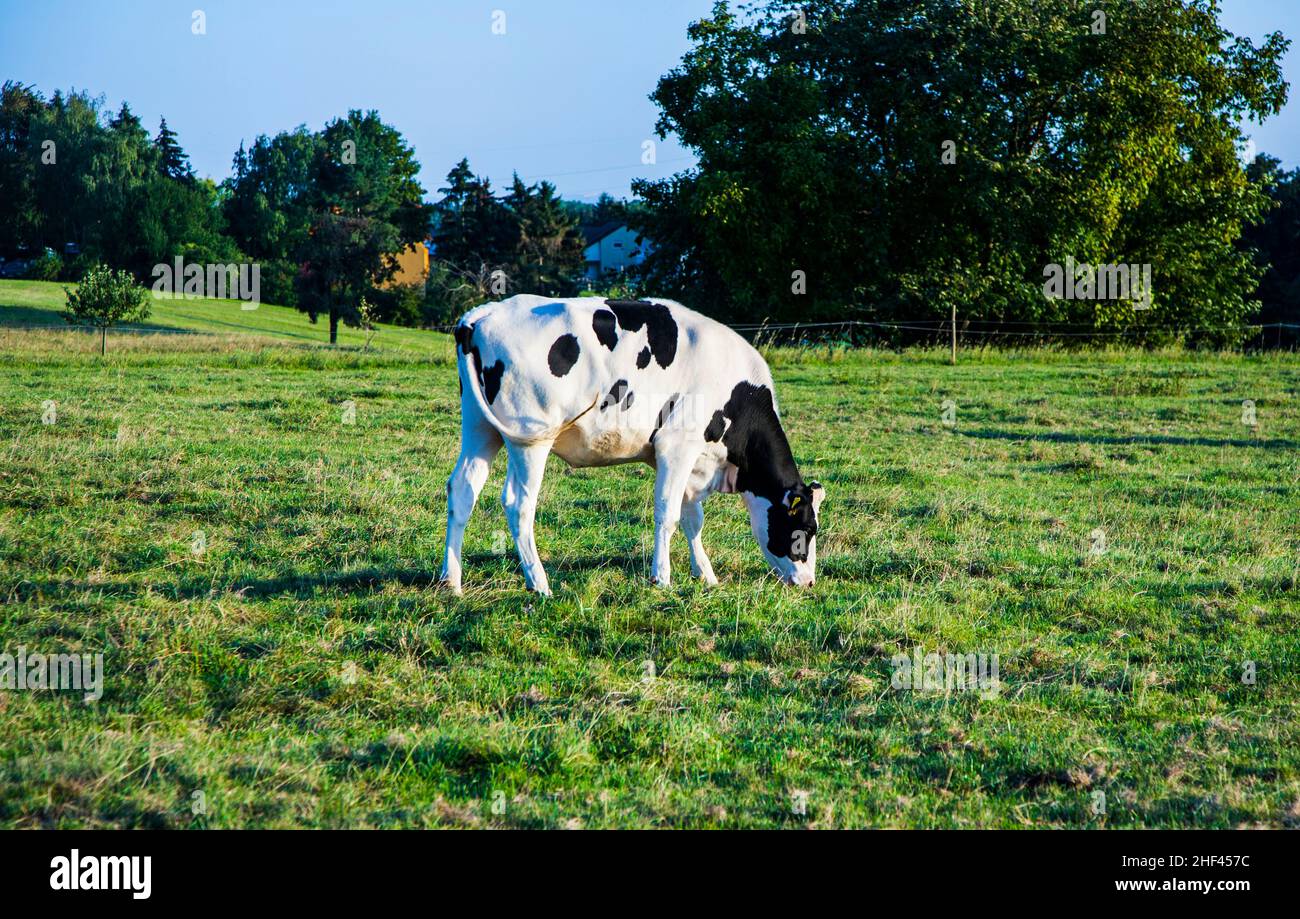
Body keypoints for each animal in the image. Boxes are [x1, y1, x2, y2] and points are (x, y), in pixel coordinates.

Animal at [440, 295, 825, 595]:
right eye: (806, 529)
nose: (809, 582)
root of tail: (482, 314)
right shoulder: (677, 446)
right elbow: (668, 514)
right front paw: (662, 578)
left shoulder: (688, 459)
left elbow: (693, 519)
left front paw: (706, 574)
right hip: (531, 438)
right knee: (519, 504)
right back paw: (539, 583)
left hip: (479, 427)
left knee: (463, 490)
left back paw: (451, 581)